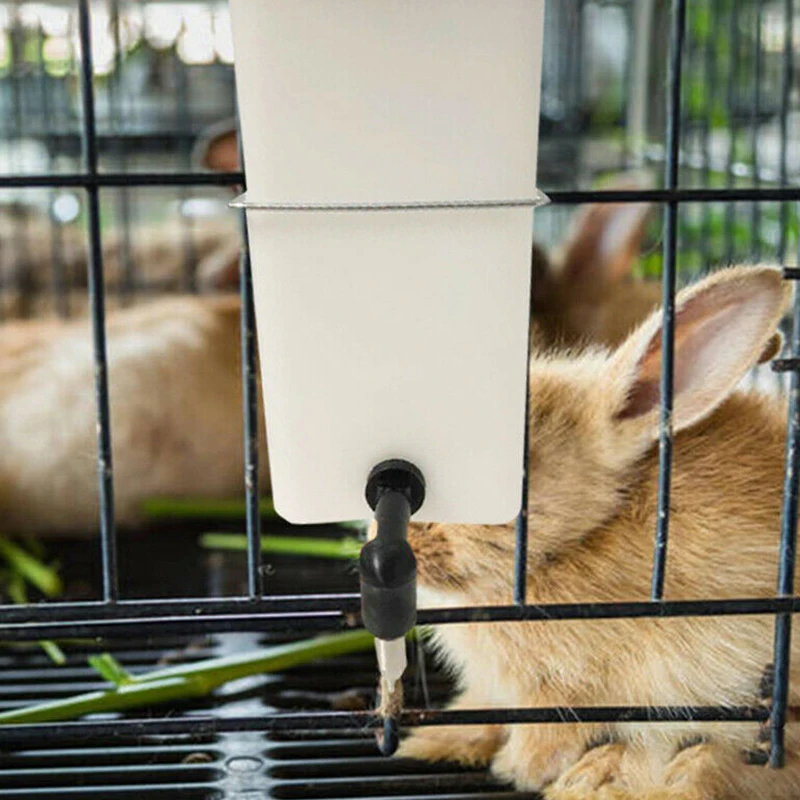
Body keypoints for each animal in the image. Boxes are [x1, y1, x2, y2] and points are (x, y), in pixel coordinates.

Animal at [399, 265, 800, 799]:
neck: (585, 534)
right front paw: (437, 740)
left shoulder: (573, 687)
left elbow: (550, 732)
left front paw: (517, 768)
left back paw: (610, 779)